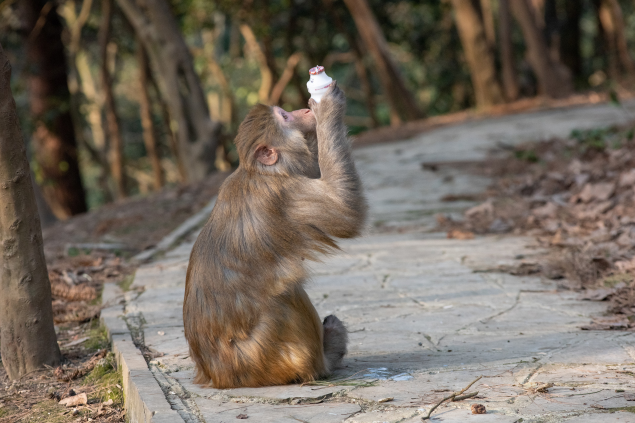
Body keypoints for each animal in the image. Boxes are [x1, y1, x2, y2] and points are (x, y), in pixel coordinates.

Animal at [181, 81, 366, 390]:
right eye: (286, 116)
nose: (305, 109)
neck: (263, 173)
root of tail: (221, 378)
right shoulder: (287, 194)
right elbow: (346, 214)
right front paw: (327, 107)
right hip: (272, 359)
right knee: (287, 293)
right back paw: (327, 354)